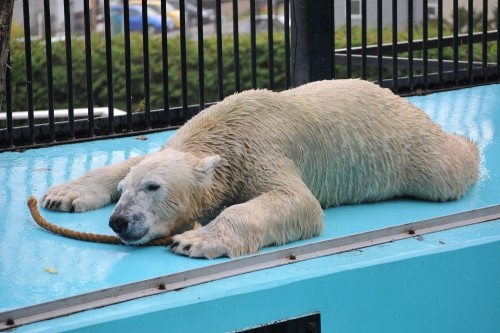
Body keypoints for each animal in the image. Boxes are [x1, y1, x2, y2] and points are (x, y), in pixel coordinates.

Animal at [41, 80, 478, 256]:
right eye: (124, 192)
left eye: (154, 187)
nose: (119, 221)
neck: (224, 132)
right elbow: (126, 160)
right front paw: (63, 194)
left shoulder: (262, 148)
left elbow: (297, 201)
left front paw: (195, 241)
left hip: (412, 150)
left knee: (449, 168)